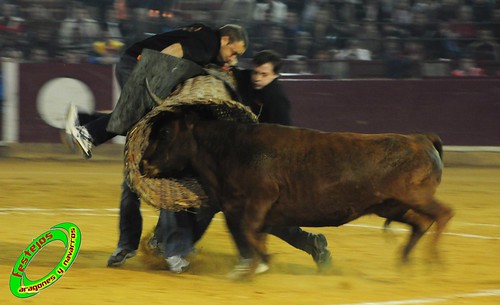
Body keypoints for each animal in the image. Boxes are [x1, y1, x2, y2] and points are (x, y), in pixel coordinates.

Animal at [140, 112, 454, 278]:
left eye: (165, 133)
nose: (143, 163)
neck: (231, 148)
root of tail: (419, 139)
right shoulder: (241, 208)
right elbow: (253, 234)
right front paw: (256, 265)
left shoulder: (259, 199)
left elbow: (250, 232)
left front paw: (257, 266)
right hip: (392, 205)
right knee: (421, 222)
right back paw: (404, 263)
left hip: (413, 195)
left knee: (442, 214)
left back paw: (433, 262)